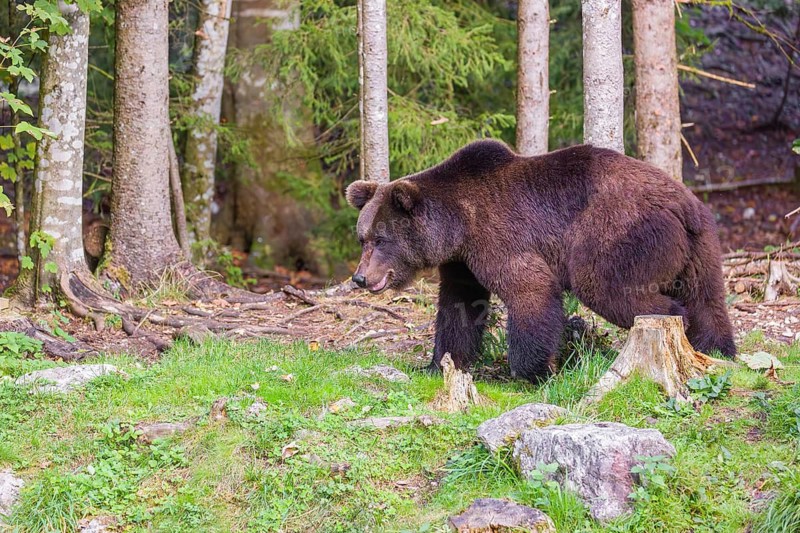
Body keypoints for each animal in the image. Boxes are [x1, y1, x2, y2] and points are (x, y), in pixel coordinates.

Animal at [346, 139, 736, 382]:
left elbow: (530, 288)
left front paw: (530, 370)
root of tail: (684, 204)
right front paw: (439, 363)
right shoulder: (462, 263)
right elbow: (459, 308)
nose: (360, 277)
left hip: (618, 232)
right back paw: (717, 348)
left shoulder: (499, 236)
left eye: (381, 239)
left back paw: (674, 324)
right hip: (701, 245)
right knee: (707, 298)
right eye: (362, 238)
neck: (458, 225)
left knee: (607, 287)